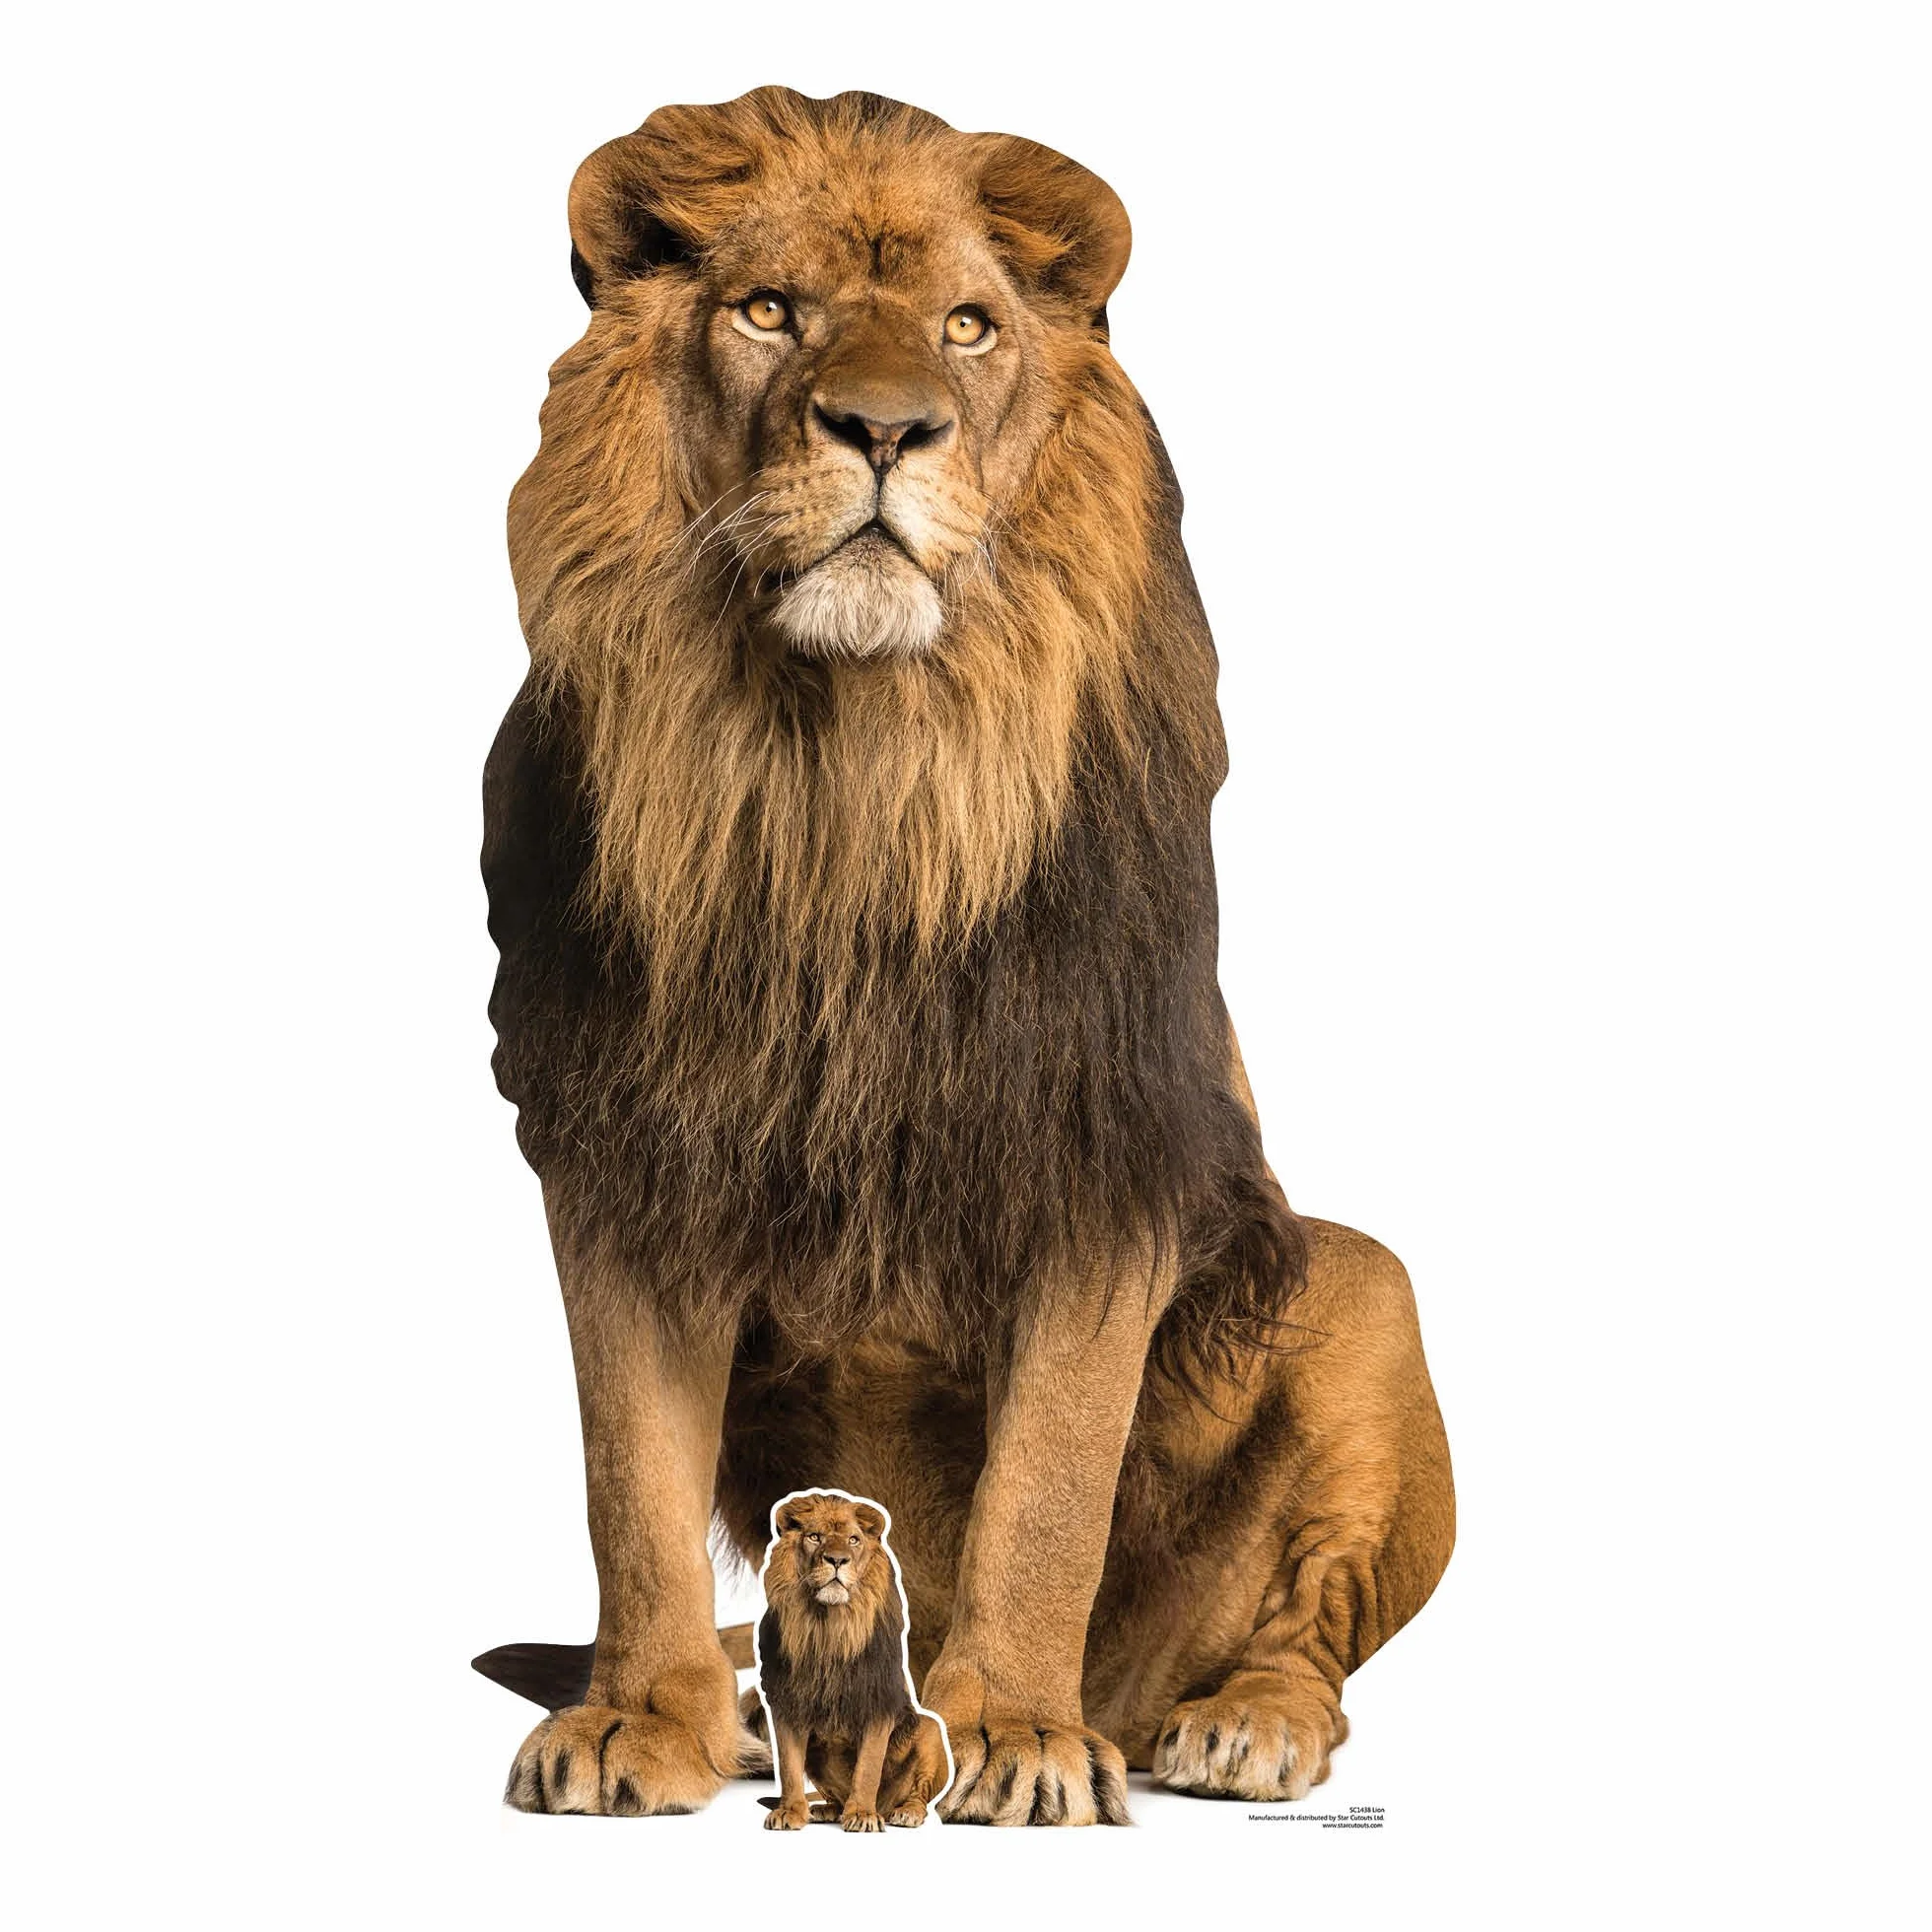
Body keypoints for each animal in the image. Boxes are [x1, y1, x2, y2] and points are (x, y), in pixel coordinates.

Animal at [752, 1492, 950, 1831]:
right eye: (814, 1537)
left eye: (854, 1540)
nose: (836, 1560)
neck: (829, 1628)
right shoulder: (787, 1702)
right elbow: (789, 1767)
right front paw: (789, 1812)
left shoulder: (878, 1701)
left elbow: (868, 1766)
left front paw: (861, 1815)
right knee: (831, 1793)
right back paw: (826, 1809)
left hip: (930, 1730)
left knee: (920, 1794)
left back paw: (903, 1812)